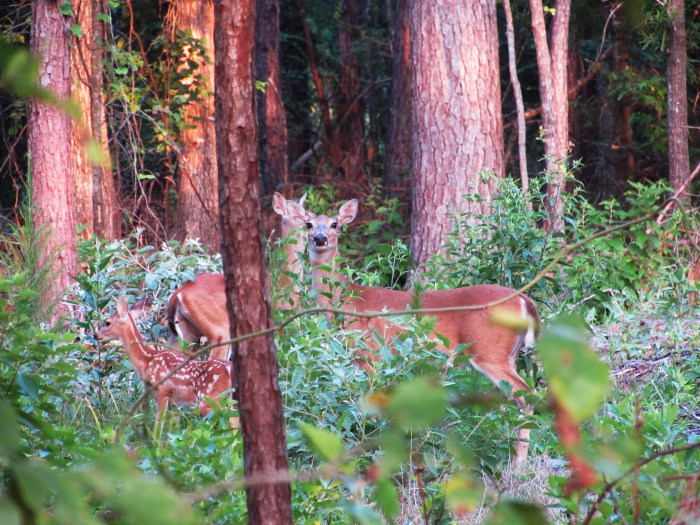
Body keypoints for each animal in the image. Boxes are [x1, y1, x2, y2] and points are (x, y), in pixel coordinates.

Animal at [95, 296, 235, 432]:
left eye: (107, 322)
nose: (95, 335)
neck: (148, 360)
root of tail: (229, 369)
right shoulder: (177, 403)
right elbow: (173, 429)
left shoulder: (163, 390)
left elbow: (158, 426)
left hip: (210, 398)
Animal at [166, 192, 307, 360]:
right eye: (297, 215)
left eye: (306, 212)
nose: (310, 224)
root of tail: (178, 294)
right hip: (221, 330)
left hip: (184, 334)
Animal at [284, 198, 541, 463]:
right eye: (308, 224)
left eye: (335, 224)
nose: (320, 238)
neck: (347, 299)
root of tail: (525, 301)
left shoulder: (371, 354)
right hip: (508, 354)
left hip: (489, 351)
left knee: (529, 395)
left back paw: (518, 464)